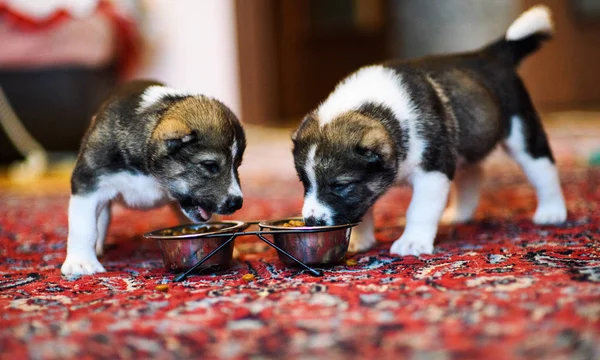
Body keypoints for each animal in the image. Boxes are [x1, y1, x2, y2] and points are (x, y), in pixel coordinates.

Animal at [61, 80, 246, 274]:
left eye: (237, 165)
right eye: (210, 165)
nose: (237, 202)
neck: (151, 174)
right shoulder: (88, 183)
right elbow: (84, 228)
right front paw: (81, 262)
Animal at [290, 7, 568, 258]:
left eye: (340, 185)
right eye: (304, 183)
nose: (312, 222)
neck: (377, 109)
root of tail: (490, 55)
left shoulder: (432, 171)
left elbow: (419, 210)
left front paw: (412, 242)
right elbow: (363, 208)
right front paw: (359, 240)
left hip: (521, 130)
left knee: (542, 167)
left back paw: (552, 211)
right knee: (473, 171)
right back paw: (460, 214)